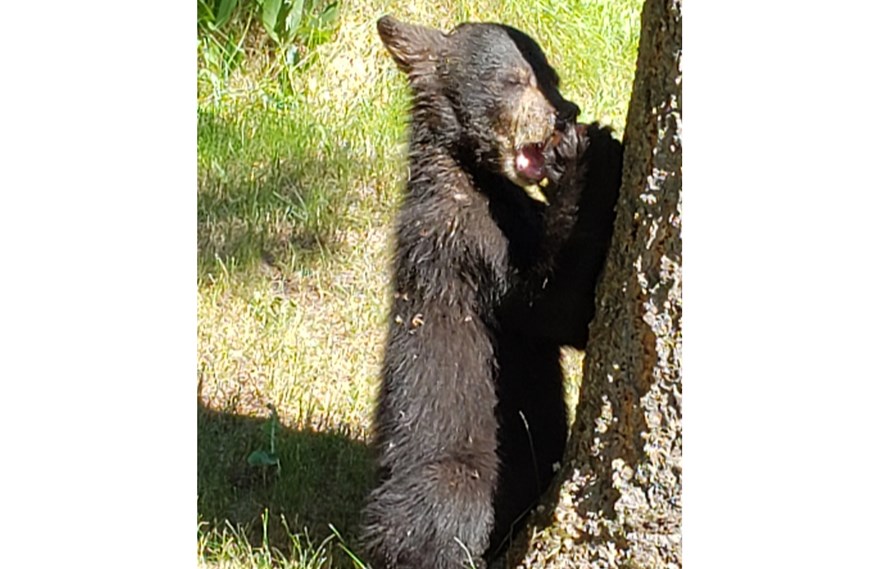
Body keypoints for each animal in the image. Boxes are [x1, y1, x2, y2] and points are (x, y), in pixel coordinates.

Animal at [360, 15, 596, 564]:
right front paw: (582, 160)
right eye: (515, 80)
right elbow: (549, 303)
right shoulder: (464, 243)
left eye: (550, 75)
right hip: (459, 468)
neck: (472, 177)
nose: (567, 113)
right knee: (444, 513)